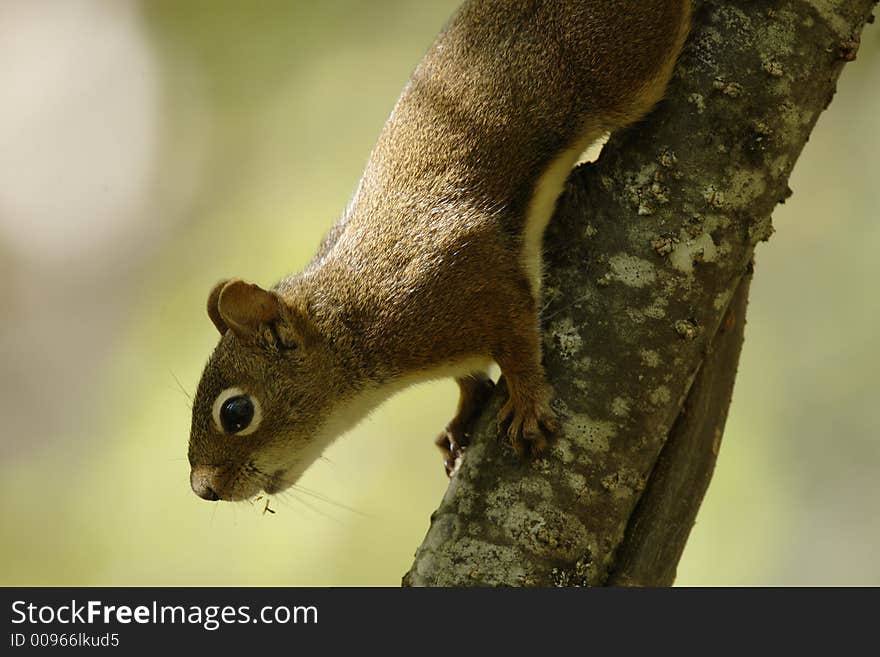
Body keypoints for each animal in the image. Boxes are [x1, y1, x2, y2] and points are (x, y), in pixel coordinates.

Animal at [189, 0, 692, 500]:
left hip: (623, 68)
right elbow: (469, 375)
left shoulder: (465, 276)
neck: (350, 322)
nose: (202, 489)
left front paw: (527, 401)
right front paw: (461, 417)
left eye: (236, 412)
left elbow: (518, 338)